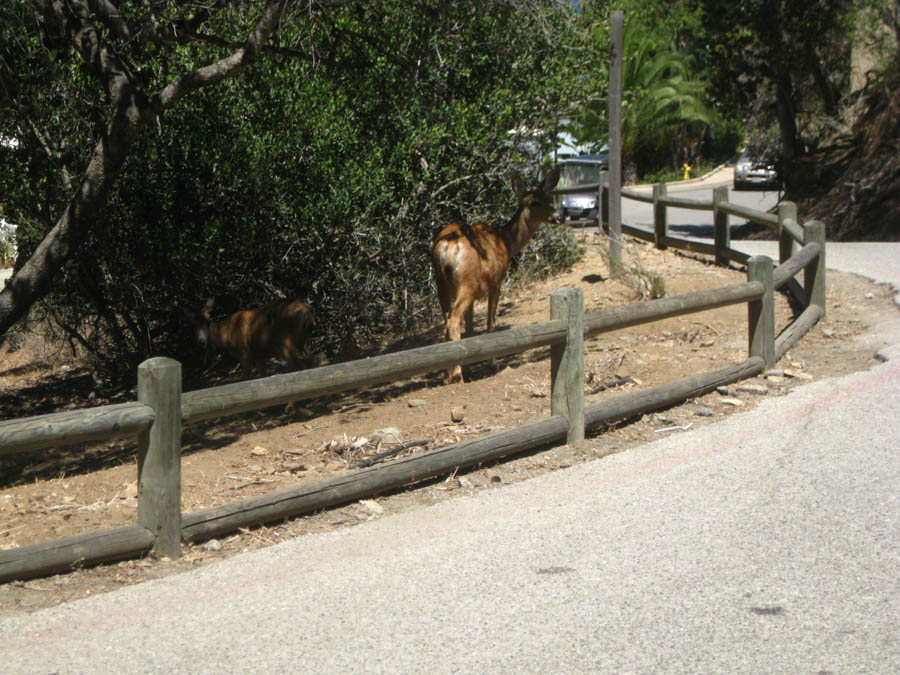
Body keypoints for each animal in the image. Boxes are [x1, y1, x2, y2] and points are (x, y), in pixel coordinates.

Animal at [432, 166, 560, 382]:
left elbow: (470, 326)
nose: (558, 216)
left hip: (442, 284)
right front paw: (492, 364)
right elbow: (490, 323)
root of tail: (446, 247)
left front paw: (469, 365)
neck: (506, 241)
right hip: (466, 284)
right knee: (454, 318)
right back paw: (457, 376)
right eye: (534, 202)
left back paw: (447, 374)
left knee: (447, 318)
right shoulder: (496, 282)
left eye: (549, 197)